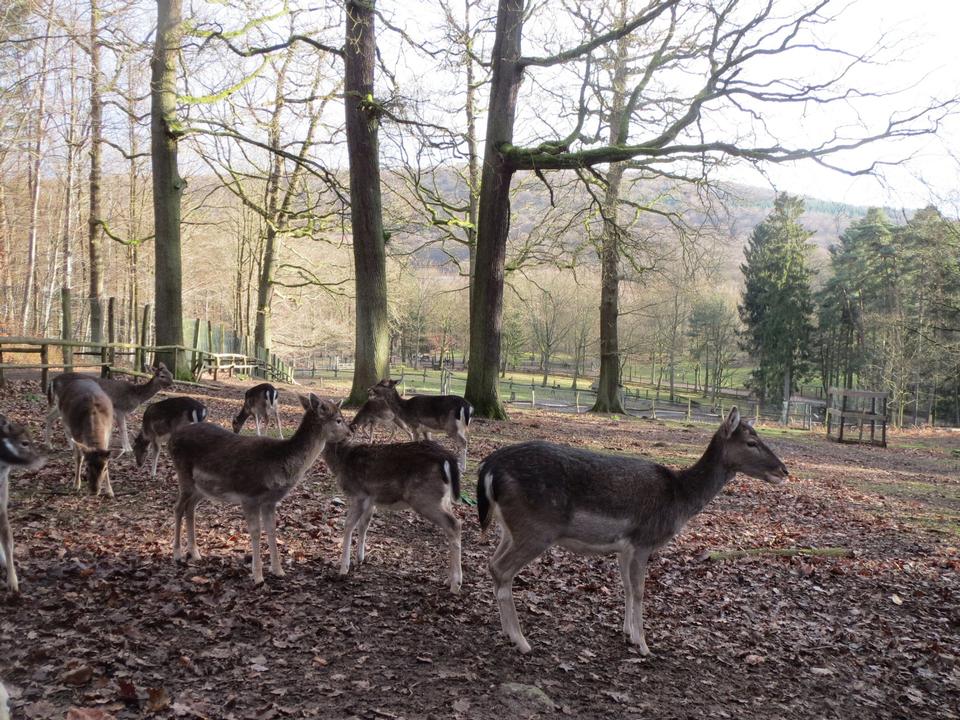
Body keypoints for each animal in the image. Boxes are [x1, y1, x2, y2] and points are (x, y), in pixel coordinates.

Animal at [171, 394, 350, 584]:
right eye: (338, 419)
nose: (350, 433)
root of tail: (171, 439)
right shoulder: (249, 495)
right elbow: (256, 531)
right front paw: (257, 576)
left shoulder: (270, 501)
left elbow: (271, 529)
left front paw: (279, 570)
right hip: (184, 474)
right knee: (178, 507)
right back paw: (177, 554)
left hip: (201, 488)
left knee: (190, 508)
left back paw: (195, 553)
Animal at [320, 436, 464, 592]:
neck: (341, 459)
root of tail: (447, 457)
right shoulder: (371, 500)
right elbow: (364, 524)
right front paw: (360, 558)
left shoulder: (359, 494)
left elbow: (348, 524)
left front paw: (343, 569)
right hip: (444, 500)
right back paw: (448, 580)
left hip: (425, 497)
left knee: (454, 524)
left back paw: (456, 584)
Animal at [478, 408, 788, 656]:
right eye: (751, 442)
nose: (784, 471)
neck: (680, 498)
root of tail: (490, 466)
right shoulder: (643, 540)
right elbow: (639, 590)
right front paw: (644, 645)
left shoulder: (623, 547)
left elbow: (627, 586)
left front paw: (628, 633)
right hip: (537, 529)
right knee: (502, 569)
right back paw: (521, 641)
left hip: (510, 528)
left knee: (492, 564)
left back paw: (507, 632)